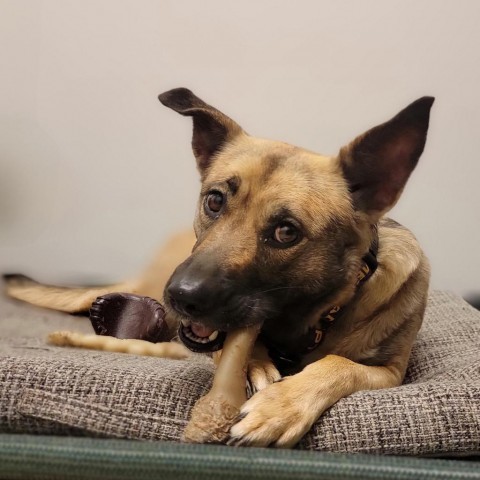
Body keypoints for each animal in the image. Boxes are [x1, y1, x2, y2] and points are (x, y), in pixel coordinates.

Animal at [3, 88, 434, 448]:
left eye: (286, 232)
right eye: (214, 201)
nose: (181, 298)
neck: (313, 321)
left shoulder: (390, 372)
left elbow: (339, 365)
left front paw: (280, 406)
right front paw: (256, 366)